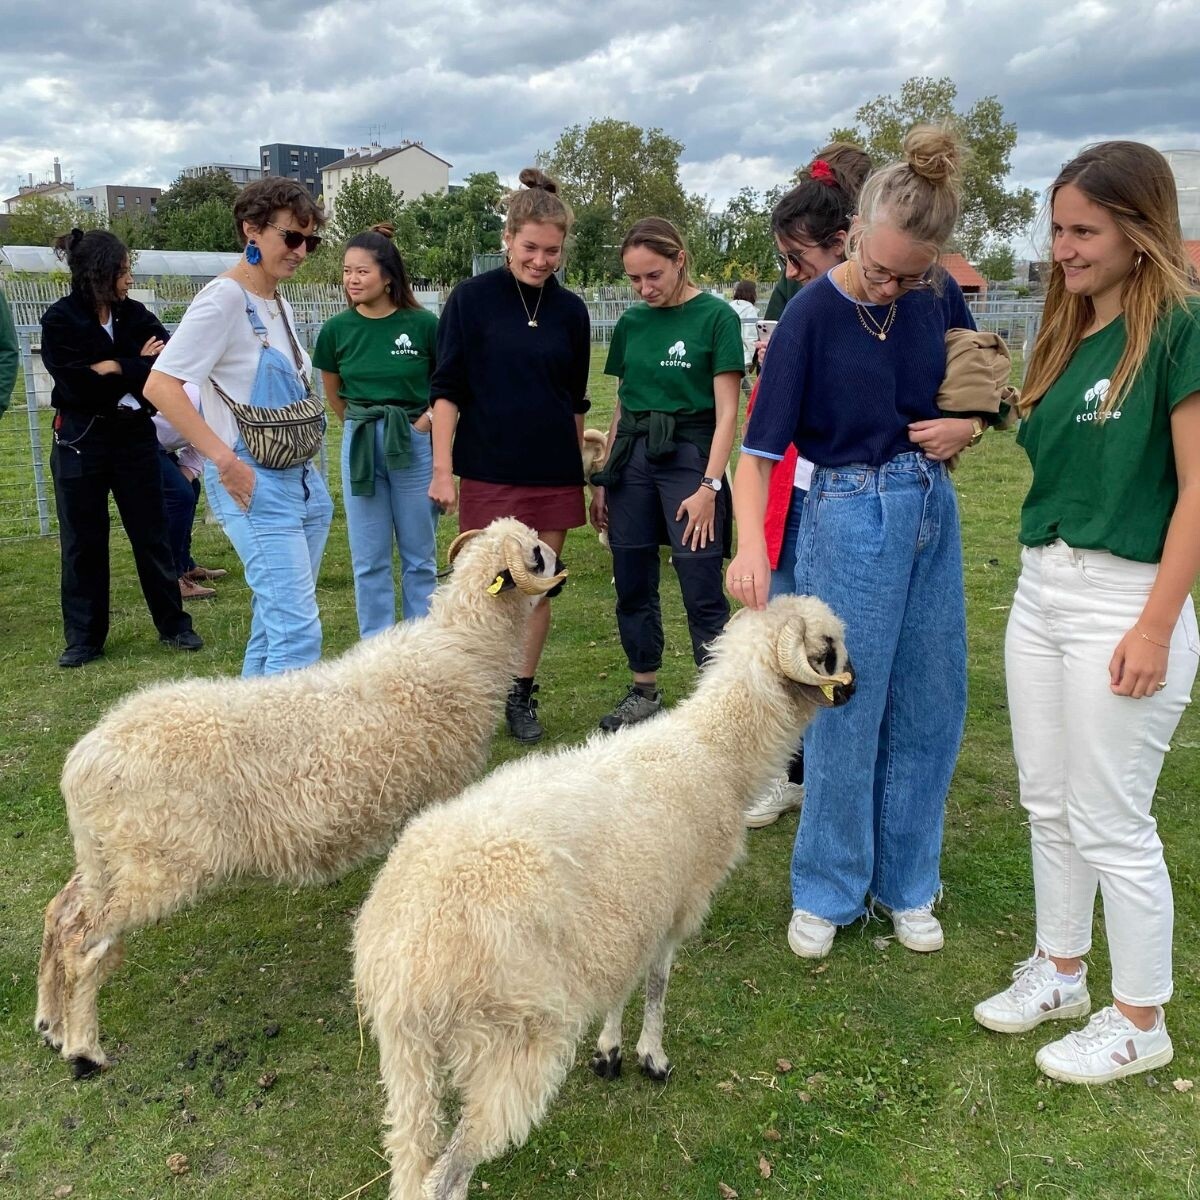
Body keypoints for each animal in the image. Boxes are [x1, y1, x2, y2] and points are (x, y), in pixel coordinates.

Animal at [32, 516, 566, 1080]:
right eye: (537, 553)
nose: (562, 564)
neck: (465, 646)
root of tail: (85, 759)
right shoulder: (439, 791)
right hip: (153, 864)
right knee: (83, 945)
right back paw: (83, 1049)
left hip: (109, 855)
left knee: (61, 915)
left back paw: (50, 1023)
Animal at [350, 595, 859, 1195]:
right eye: (828, 649)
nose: (856, 687)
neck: (712, 750)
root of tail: (404, 956)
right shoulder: (675, 908)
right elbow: (657, 985)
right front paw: (652, 1058)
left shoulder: (627, 915)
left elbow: (623, 982)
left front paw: (609, 1053)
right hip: (514, 1036)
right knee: (447, 1173)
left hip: (406, 1058)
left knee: (412, 1161)